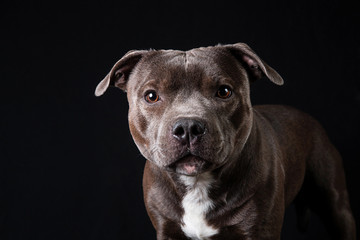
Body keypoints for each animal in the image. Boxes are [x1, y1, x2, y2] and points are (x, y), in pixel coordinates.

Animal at [94, 43, 356, 240]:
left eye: (224, 91)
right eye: (151, 96)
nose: (187, 127)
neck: (198, 184)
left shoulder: (259, 230)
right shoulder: (167, 230)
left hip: (336, 205)